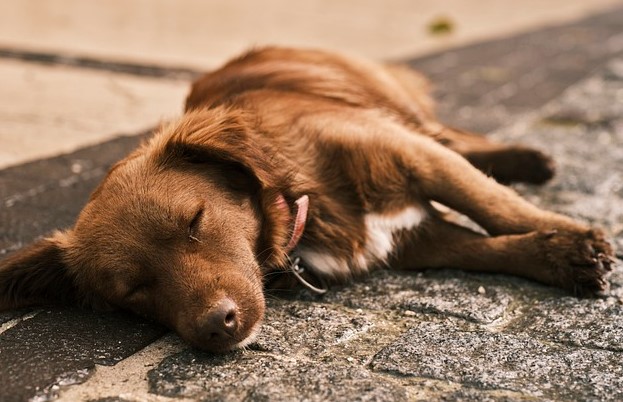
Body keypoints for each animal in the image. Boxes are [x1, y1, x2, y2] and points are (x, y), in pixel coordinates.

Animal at [0, 47, 616, 352]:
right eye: (132, 291)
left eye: (195, 221)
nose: (216, 327)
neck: (302, 199)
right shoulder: (415, 238)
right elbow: (484, 247)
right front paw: (558, 256)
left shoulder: (412, 153)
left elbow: (492, 205)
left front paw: (571, 237)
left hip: (394, 103)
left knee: (456, 137)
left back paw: (527, 160)